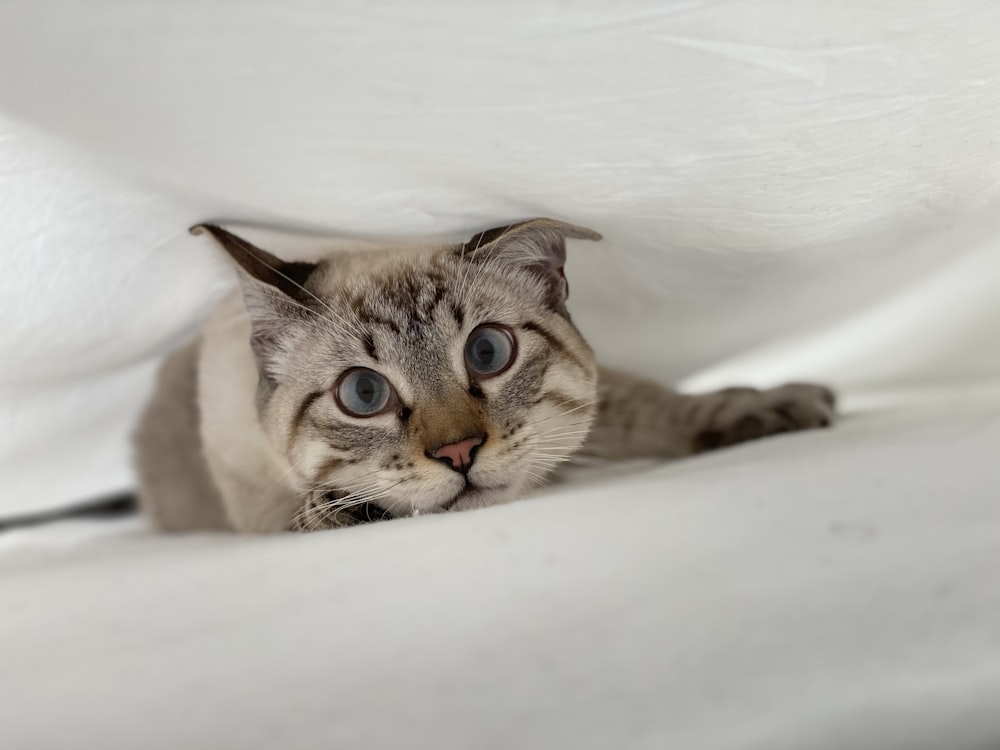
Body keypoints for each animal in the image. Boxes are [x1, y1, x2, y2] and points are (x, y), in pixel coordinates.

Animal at [135, 219, 836, 536]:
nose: (460, 452)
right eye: (363, 393)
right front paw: (352, 509)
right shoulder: (260, 513)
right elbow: (316, 511)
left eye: (488, 353)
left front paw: (768, 405)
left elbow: (657, 406)